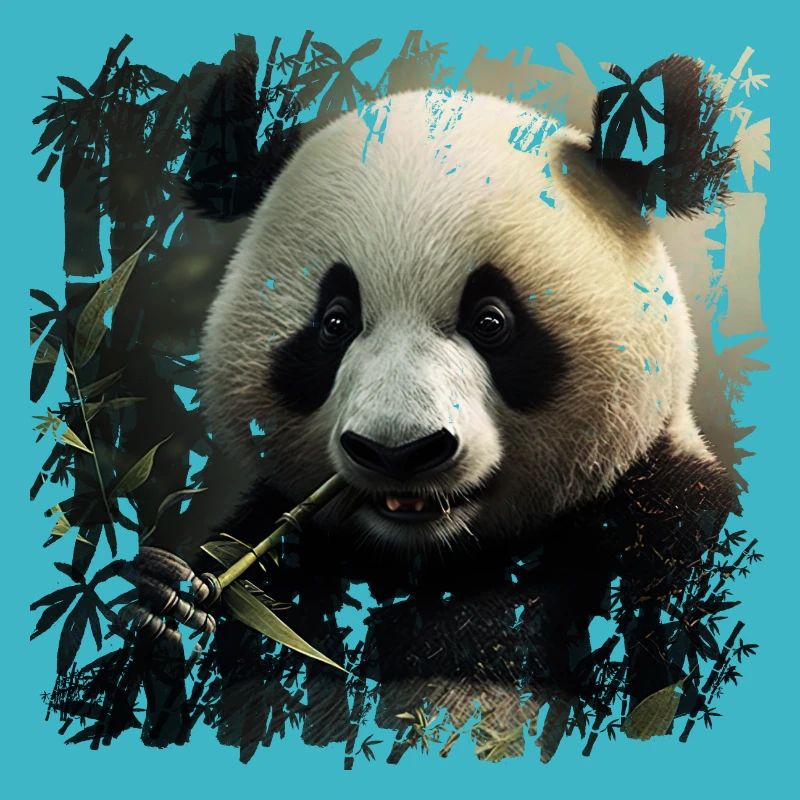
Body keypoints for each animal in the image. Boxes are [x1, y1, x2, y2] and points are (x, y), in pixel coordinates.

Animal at [134, 88, 738, 749]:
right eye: (335, 321)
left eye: (492, 320)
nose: (398, 451)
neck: (440, 561)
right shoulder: (288, 558)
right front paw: (170, 605)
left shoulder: (660, 531)